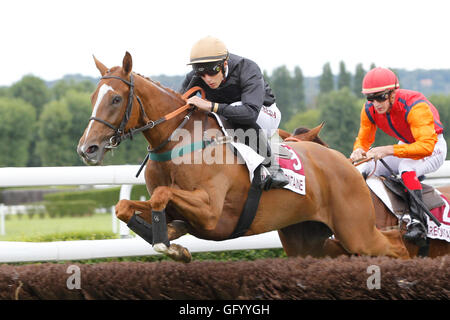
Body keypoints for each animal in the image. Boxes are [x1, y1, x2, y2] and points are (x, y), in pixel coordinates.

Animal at [76, 52, 408, 262]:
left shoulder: (211, 211)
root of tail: (346, 163)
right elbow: (124, 207)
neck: (176, 142)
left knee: (398, 246)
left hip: (356, 229)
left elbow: (161, 195)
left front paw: (168, 244)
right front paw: (174, 244)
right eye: (93, 98)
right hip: (308, 238)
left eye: (116, 98)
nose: (86, 148)